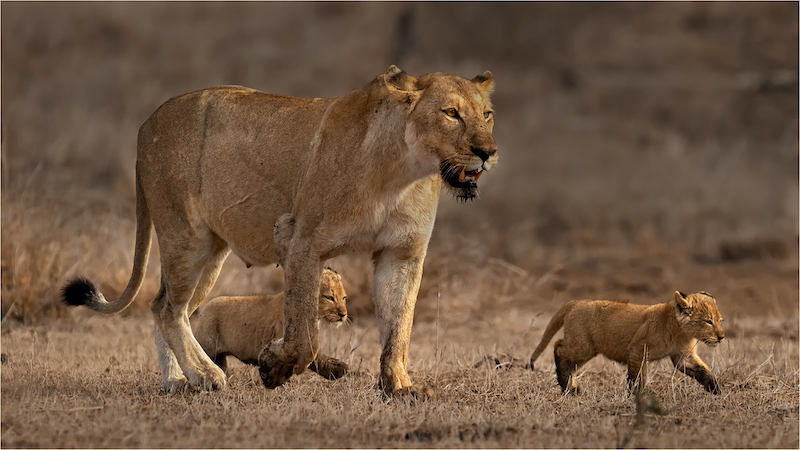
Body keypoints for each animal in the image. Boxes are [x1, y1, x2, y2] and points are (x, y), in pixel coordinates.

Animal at [190, 268, 349, 380]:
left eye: (344, 298)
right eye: (330, 298)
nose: (343, 315)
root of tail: (205, 308)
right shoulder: (290, 344)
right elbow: (315, 356)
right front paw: (338, 369)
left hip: (219, 357)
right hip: (207, 345)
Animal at [529, 291, 725, 395]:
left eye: (719, 320)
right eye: (708, 321)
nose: (722, 337)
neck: (680, 333)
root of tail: (576, 302)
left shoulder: (683, 357)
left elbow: (703, 371)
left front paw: (716, 389)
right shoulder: (637, 350)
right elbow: (637, 377)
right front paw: (637, 396)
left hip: (586, 350)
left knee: (568, 360)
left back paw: (571, 387)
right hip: (582, 346)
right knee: (559, 348)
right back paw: (568, 387)